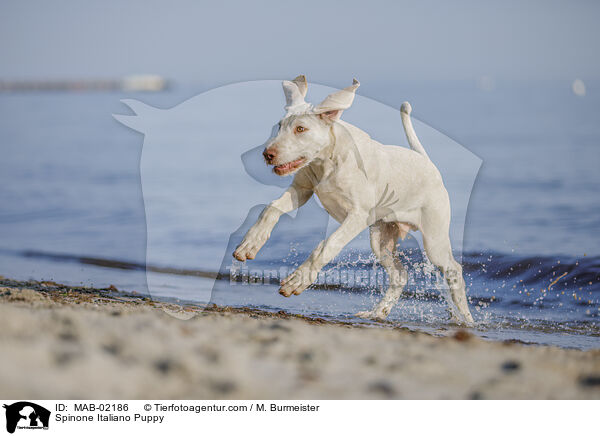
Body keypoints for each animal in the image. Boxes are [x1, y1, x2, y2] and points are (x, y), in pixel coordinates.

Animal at [233, 76, 474, 326]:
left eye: (301, 129)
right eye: (280, 126)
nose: (267, 154)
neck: (327, 160)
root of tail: (426, 161)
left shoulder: (357, 215)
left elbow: (328, 244)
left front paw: (298, 280)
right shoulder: (302, 190)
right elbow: (271, 209)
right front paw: (250, 243)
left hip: (434, 239)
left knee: (453, 269)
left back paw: (467, 319)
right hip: (381, 238)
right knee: (399, 275)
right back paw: (377, 313)